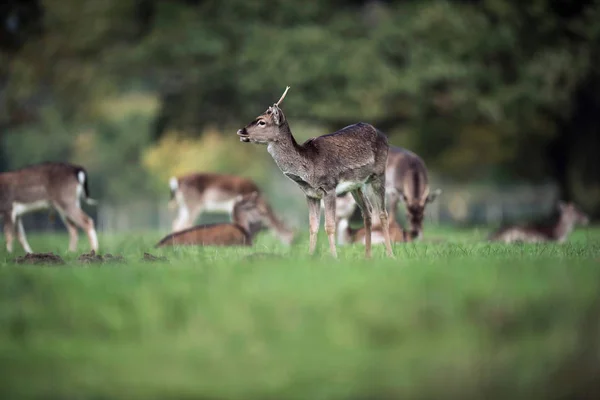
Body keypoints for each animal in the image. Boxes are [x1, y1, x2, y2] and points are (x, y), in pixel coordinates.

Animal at [237, 86, 396, 258]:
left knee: (382, 213)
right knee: (367, 212)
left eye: (261, 121)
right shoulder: (310, 194)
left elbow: (329, 226)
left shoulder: (329, 187)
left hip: (378, 174)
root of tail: (384, 136)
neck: (308, 169)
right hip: (357, 185)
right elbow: (313, 227)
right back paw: (367, 256)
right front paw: (311, 256)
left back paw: (390, 254)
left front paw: (334, 257)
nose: (241, 131)